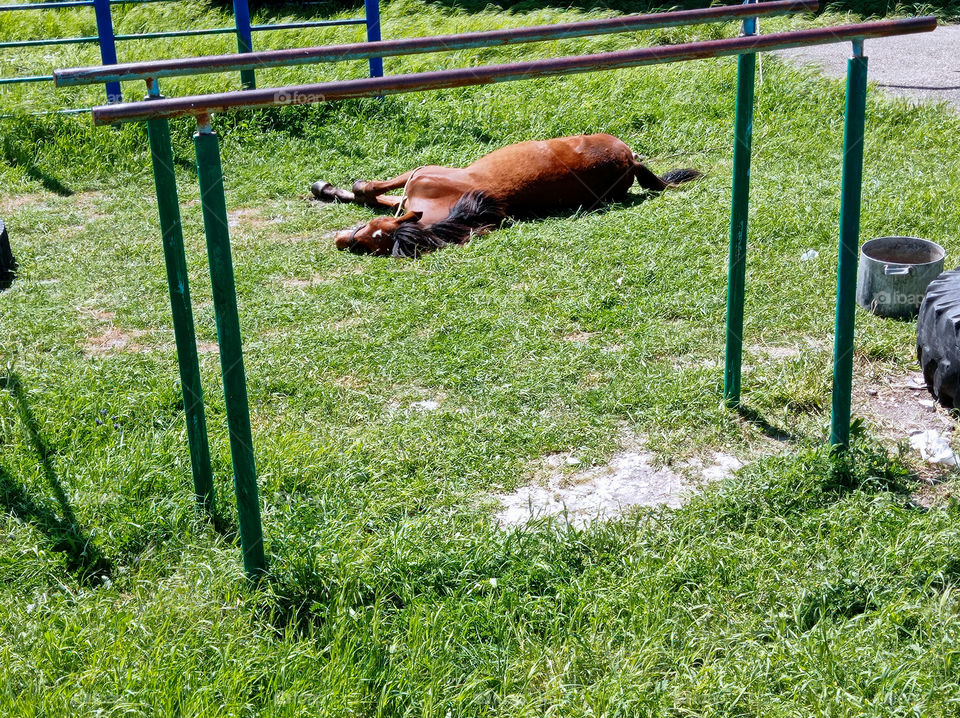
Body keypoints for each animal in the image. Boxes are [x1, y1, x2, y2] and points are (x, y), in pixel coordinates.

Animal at [310, 133, 701, 258]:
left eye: (374, 240)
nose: (342, 241)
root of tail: (630, 159)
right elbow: (380, 199)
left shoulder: (419, 174)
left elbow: (368, 191)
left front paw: (326, 187)